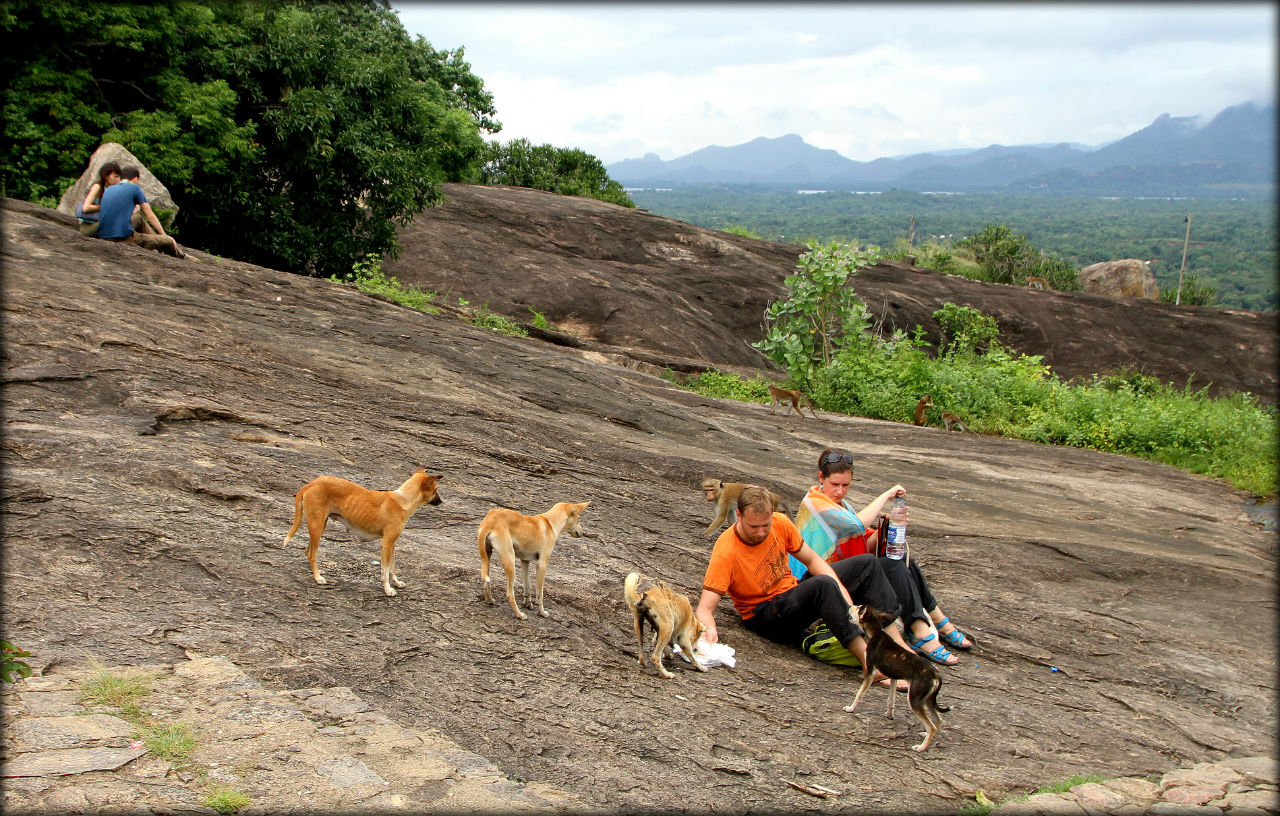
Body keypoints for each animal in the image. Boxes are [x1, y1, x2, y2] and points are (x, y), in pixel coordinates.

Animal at [282, 470, 442, 598]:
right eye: (435, 489)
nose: (441, 501)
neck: (402, 500)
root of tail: (311, 484)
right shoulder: (386, 544)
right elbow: (385, 571)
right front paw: (388, 589)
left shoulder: (392, 544)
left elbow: (392, 568)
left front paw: (396, 582)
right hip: (317, 526)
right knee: (312, 554)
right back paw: (318, 578)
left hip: (319, 526)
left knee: (307, 551)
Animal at [839, 603, 952, 752]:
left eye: (858, 608)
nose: (851, 605)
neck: (876, 633)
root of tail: (936, 674)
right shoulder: (894, 677)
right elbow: (891, 700)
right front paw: (889, 715)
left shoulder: (870, 672)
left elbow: (859, 693)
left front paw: (851, 708)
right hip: (927, 699)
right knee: (938, 721)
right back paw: (925, 735)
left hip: (915, 699)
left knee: (932, 726)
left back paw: (921, 747)